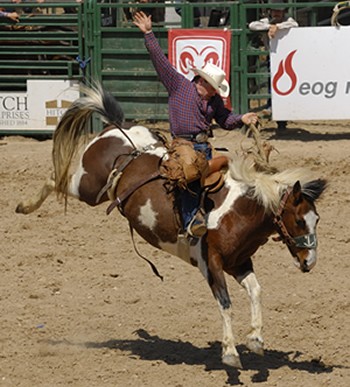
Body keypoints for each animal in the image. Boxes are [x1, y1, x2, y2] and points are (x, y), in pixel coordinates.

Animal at [15, 85, 328, 370]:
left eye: (317, 219)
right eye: (299, 220)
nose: (310, 262)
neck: (237, 211)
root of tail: (116, 127)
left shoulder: (239, 263)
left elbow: (256, 291)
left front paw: (256, 340)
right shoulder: (211, 263)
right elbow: (225, 303)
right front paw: (230, 352)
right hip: (87, 187)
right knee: (55, 179)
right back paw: (25, 205)